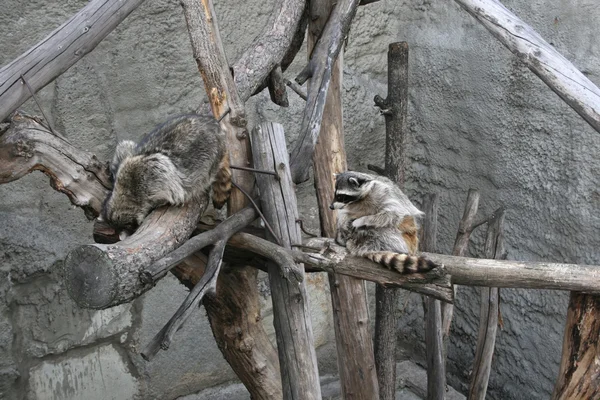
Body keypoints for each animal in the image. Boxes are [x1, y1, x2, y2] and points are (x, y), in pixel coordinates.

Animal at [101, 112, 232, 233]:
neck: (125, 193)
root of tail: (214, 124)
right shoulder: (126, 158)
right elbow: (124, 148)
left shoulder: (157, 174)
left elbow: (175, 193)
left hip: (211, 154)